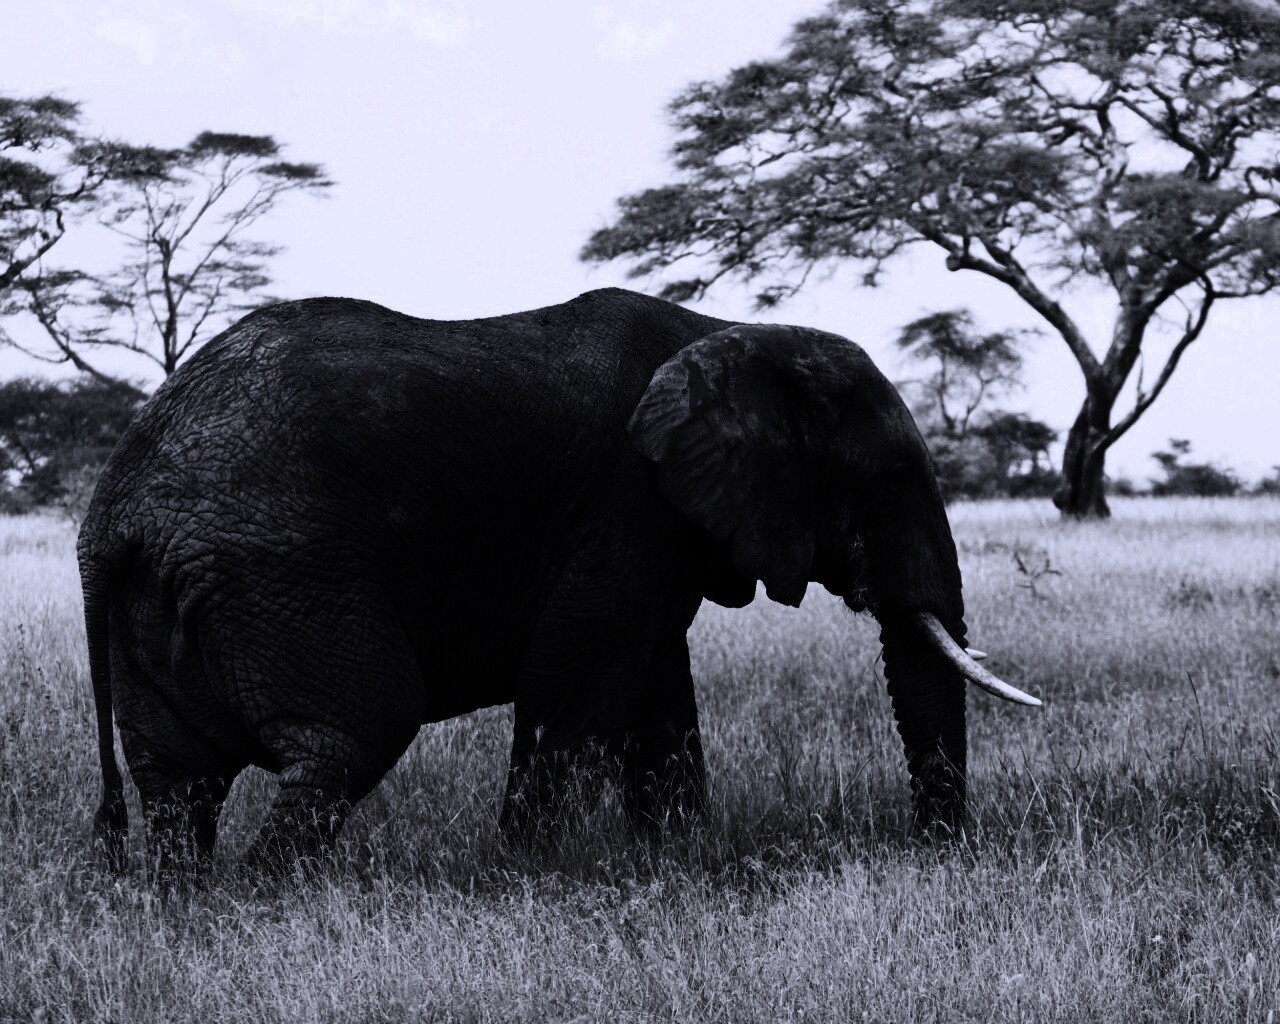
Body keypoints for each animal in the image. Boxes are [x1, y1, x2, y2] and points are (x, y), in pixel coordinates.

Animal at [79, 287, 1038, 872]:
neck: (727, 333)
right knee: (351, 734)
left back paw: (190, 906)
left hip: (168, 598)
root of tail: (112, 510)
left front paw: (677, 864)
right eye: (887, 481)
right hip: (282, 572)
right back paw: (269, 902)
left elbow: (657, 693)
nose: (936, 851)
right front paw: (528, 877)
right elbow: (573, 685)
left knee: (179, 782)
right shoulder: (625, 505)